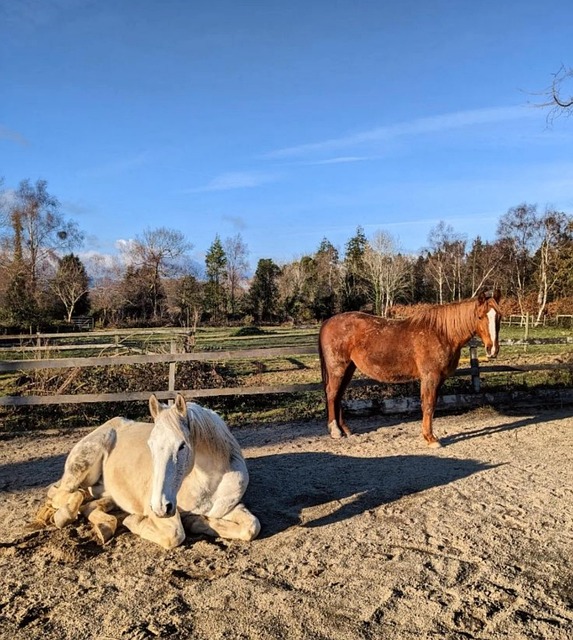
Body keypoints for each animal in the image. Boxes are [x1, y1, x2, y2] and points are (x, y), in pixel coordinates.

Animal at [39, 394, 260, 549]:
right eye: (151, 444)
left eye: (182, 446)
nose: (161, 506)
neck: (207, 484)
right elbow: (175, 535)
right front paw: (134, 520)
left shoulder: (229, 507)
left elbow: (251, 527)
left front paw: (196, 520)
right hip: (83, 466)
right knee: (60, 493)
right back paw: (65, 514)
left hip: (104, 491)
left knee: (89, 504)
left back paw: (105, 526)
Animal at [318, 290, 502, 447]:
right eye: (480, 316)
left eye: (499, 317)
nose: (492, 350)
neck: (441, 333)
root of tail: (328, 322)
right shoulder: (430, 377)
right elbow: (428, 405)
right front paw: (430, 438)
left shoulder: (438, 379)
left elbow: (431, 405)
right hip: (337, 369)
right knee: (332, 394)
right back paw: (335, 431)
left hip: (348, 369)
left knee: (338, 395)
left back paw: (345, 430)